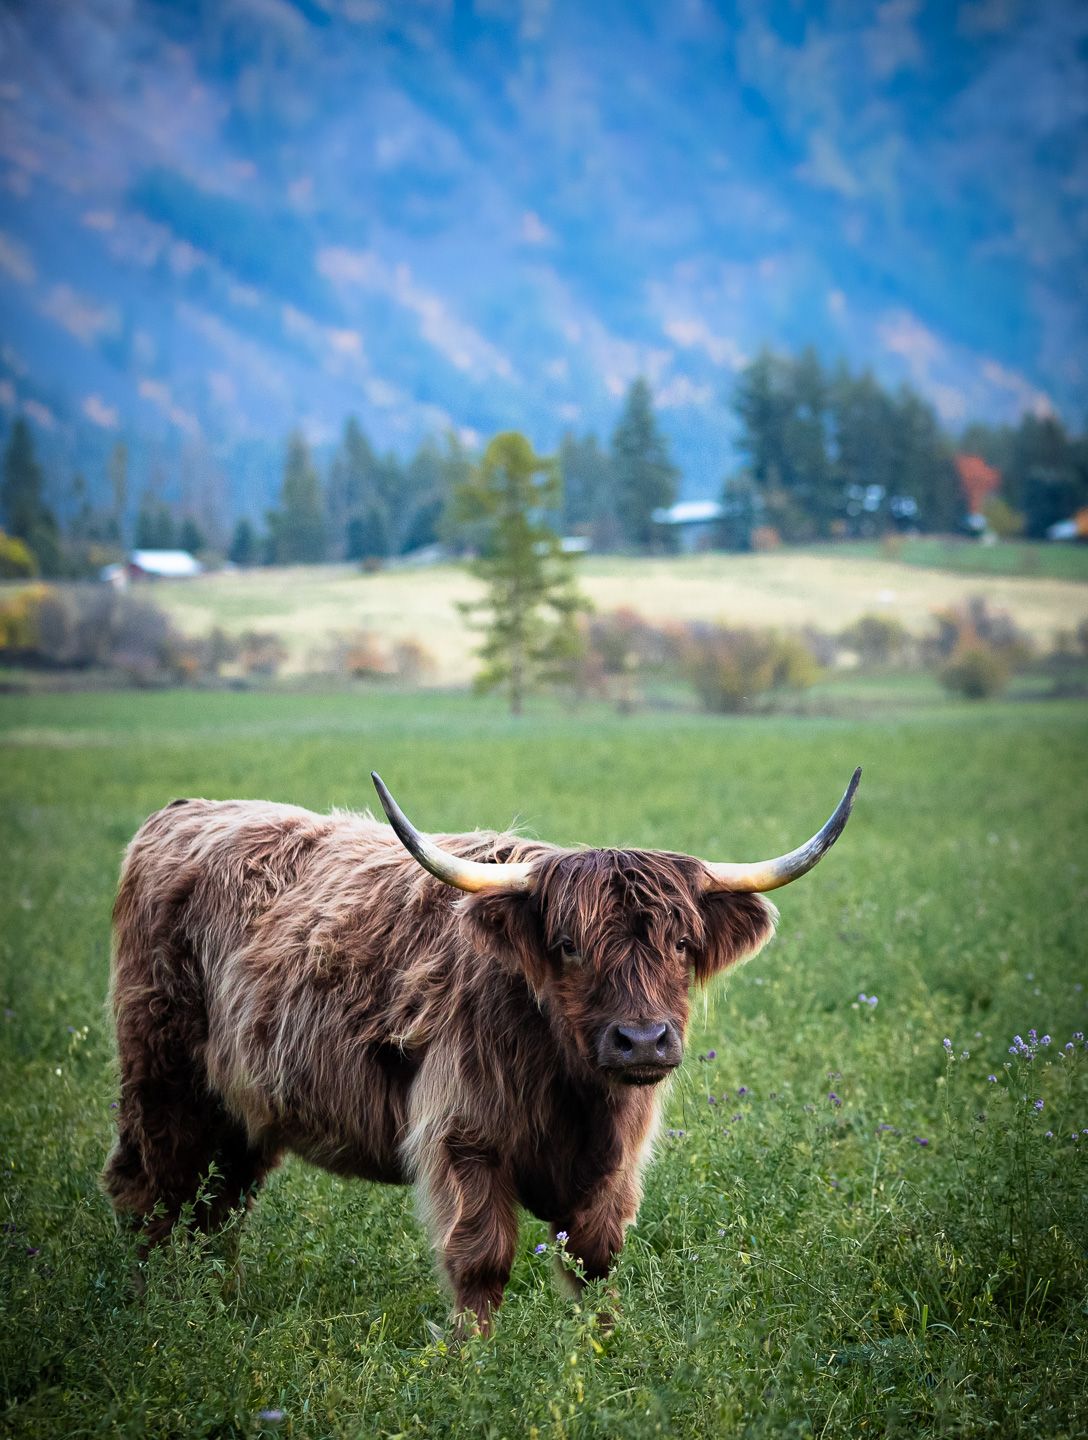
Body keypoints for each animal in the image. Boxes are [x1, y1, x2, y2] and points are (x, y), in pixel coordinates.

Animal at [103, 767, 860, 1333]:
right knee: (151, 1192)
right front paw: (473, 1362)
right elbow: (481, 1259)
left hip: (244, 1107)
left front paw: (608, 1350)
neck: (572, 1090)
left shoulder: (615, 1162)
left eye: (681, 944)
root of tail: (184, 811)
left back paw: (215, 1303)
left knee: (218, 1206)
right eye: (568, 946)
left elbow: (597, 1260)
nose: (642, 1039)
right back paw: (151, 1313)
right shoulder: (463, 1136)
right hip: (162, 1077)